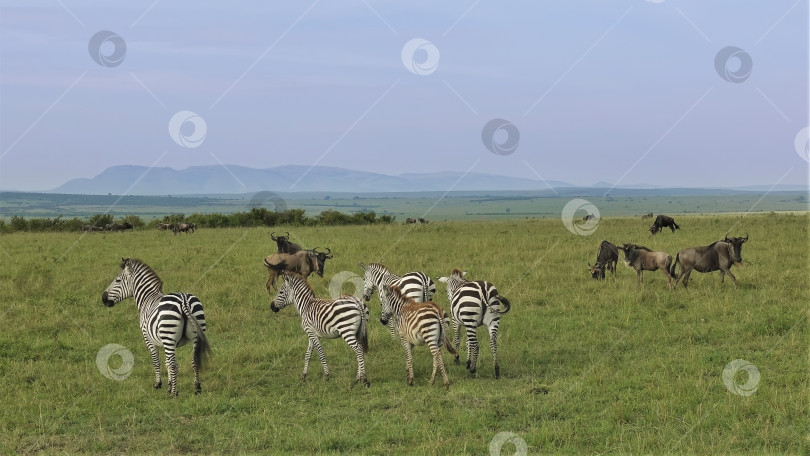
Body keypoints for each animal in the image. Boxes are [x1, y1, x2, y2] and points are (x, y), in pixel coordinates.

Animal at [100, 258, 210, 398]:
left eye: (118, 280)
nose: (103, 298)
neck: (147, 297)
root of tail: (183, 301)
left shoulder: (149, 338)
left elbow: (157, 362)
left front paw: (159, 384)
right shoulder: (163, 341)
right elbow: (167, 362)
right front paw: (169, 385)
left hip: (169, 335)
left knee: (174, 365)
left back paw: (174, 395)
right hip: (195, 335)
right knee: (194, 361)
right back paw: (197, 388)